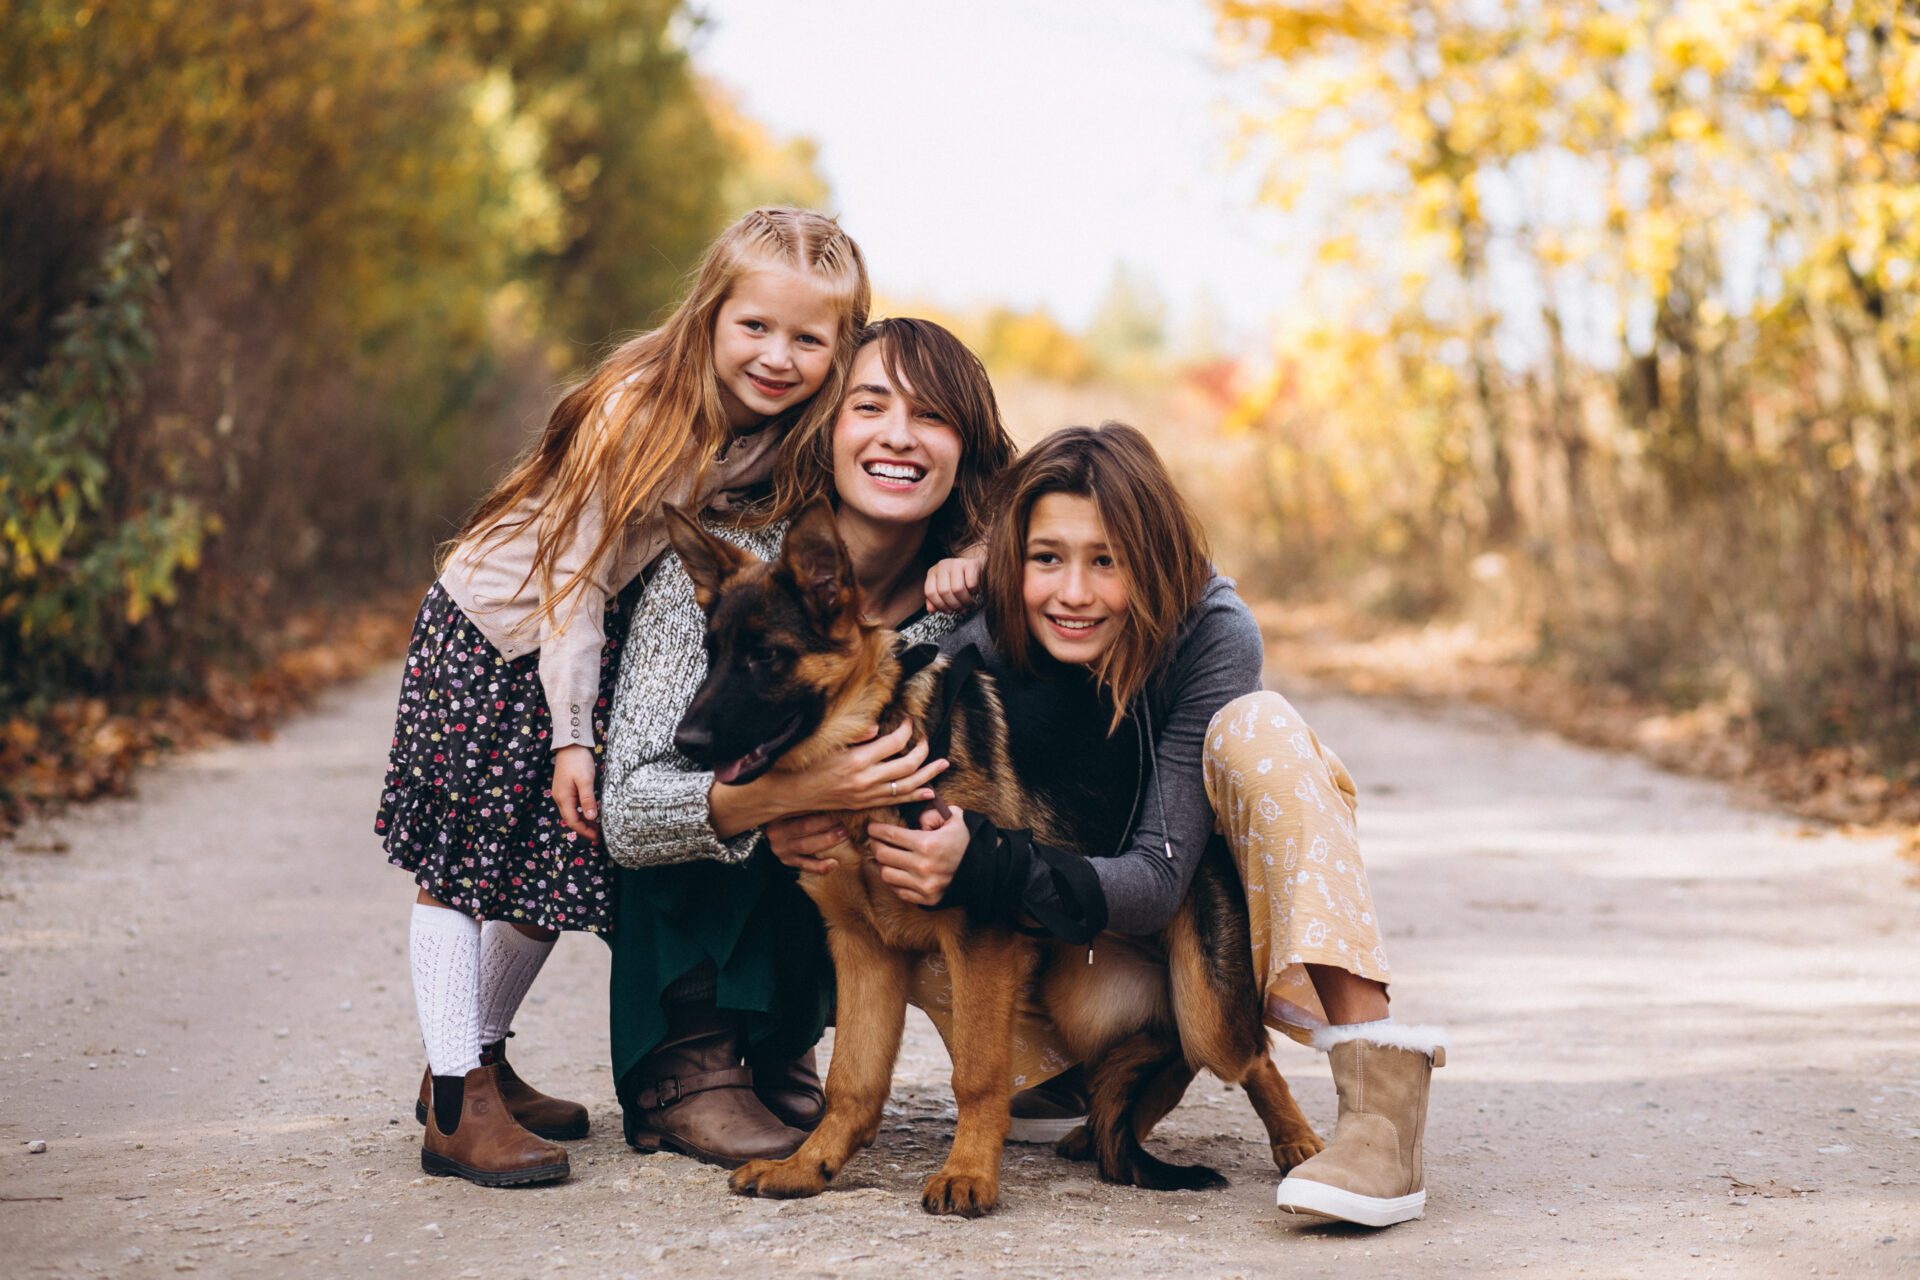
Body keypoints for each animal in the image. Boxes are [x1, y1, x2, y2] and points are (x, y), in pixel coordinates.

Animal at [664, 506, 1320, 1220]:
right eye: (712, 655)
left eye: (767, 657)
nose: (684, 743)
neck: (880, 730)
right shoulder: (864, 950)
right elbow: (851, 1081)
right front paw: (809, 1166)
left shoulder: (978, 940)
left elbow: (977, 1075)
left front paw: (969, 1173)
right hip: (1080, 998)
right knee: (1161, 1058)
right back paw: (1100, 1134)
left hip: (1204, 1006)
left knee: (1247, 1056)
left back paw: (1296, 1141)